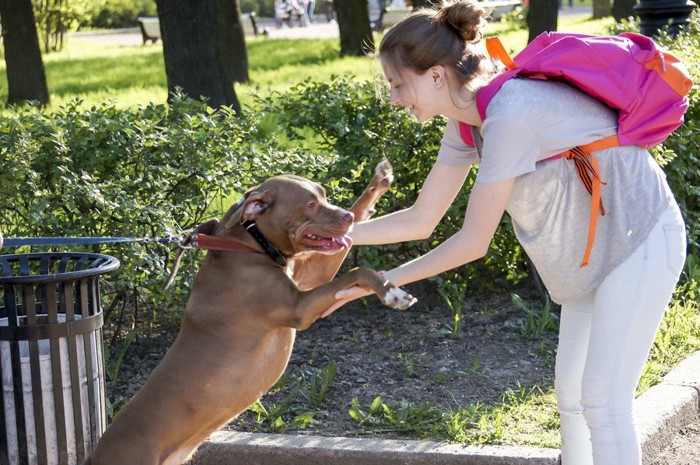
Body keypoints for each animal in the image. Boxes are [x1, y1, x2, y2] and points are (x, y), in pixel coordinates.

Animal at [85, 160, 412, 464]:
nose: (346, 217)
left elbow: (355, 229)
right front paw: (391, 292)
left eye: (324, 195)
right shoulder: (298, 307)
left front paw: (378, 182)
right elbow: (356, 271)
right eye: (309, 204)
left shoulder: (309, 278)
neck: (249, 243)